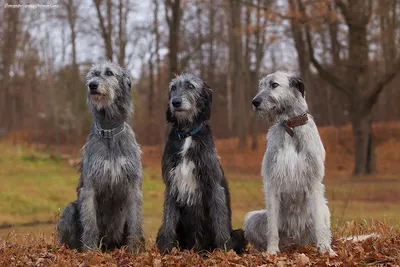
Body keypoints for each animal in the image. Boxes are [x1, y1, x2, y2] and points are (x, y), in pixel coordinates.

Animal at [56, 61, 144, 253]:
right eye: (93, 74)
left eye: (109, 73)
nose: (92, 85)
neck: (109, 131)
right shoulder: (90, 185)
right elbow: (90, 223)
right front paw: (90, 251)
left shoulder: (133, 185)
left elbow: (136, 221)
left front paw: (136, 249)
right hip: (70, 209)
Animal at [156, 74, 247, 254]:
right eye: (173, 88)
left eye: (190, 86)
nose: (175, 102)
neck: (187, 134)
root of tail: (199, 248)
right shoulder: (171, 184)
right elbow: (168, 220)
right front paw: (166, 249)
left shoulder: (213, 182)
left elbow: (219, 218)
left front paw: (223, 251)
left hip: (239, 233)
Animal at [245, 71, 336, 258]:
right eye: (260, 85)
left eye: (274, 84)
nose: (255, 102)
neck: (290, 127)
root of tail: (295, 241)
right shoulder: (272, 182)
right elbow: (272, 227)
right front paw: (272, 251)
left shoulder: (314, 181)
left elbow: (321, 225)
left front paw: (325, 249)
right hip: (253, 218)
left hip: (324, 211)